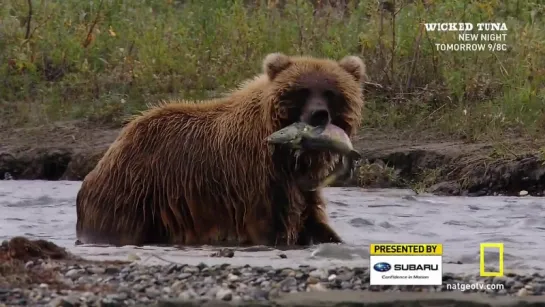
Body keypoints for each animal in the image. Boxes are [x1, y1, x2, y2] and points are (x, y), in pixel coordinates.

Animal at [74, 51, 366, 247]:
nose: (319, 115)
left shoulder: (301, 186)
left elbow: (313, 219)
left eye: (330, 92)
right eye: (302, 90)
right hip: (135, 194)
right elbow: (269, 224)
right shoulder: (255, 177)